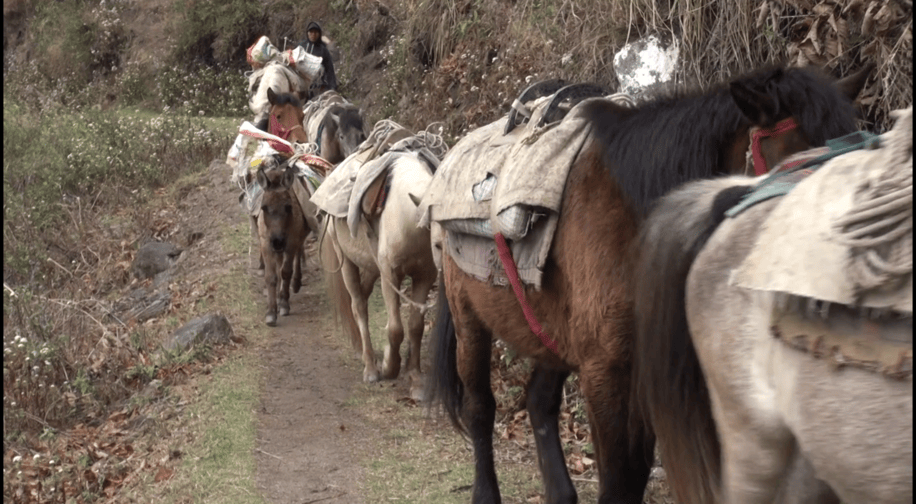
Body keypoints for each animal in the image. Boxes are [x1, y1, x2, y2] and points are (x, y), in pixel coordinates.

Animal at [315, 124, 446, 388]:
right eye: (438, 244)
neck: (407, 217)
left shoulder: (424, 276)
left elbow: (415, 326)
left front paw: (414, 375)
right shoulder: (390, 275)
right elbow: (395, 328)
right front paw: (389, 367)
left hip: (370, 266)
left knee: (364, 297)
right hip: (348, 265)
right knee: (358, 306)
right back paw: (370, 368)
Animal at [422, 64, 871, 504]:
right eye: (800, 169)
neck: (636, 216)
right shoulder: (606, 373)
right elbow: (621, 482)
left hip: (554, 333)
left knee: (539, 401)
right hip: (469, 321)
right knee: (480, 409)